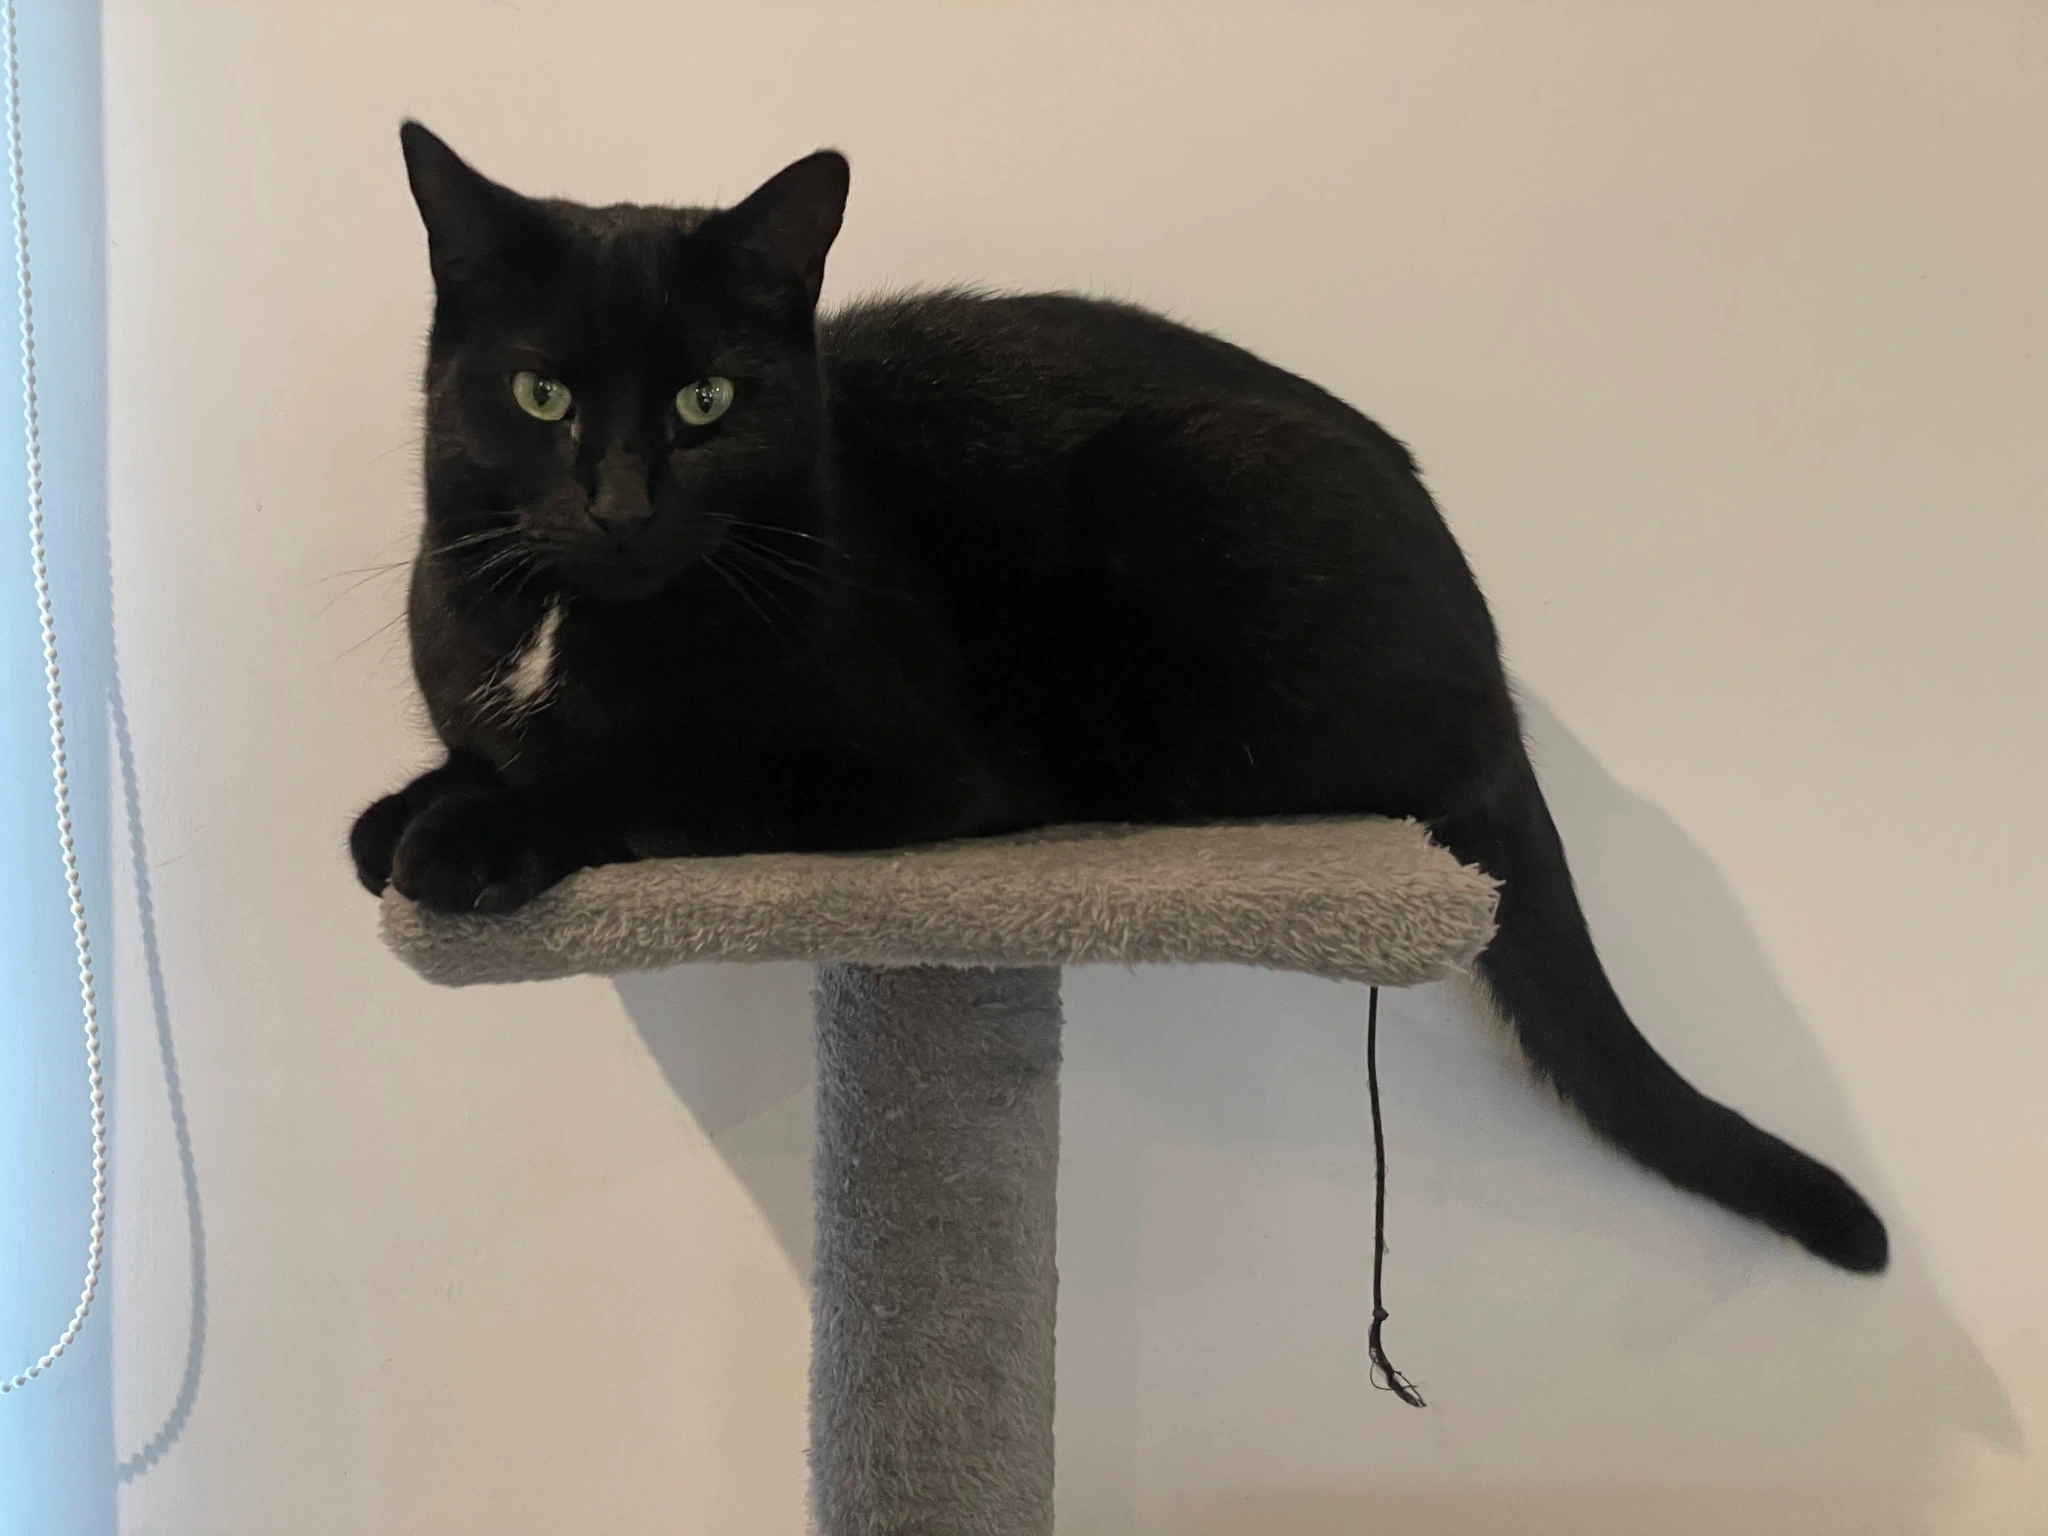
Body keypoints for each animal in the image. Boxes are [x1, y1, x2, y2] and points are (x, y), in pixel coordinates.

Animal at [351, 122, 1887, 1275]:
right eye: (540, 396)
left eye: (706, 402)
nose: (615, 507)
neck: (581, 618)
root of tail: (1497, 676)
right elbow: (478, 753)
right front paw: (410, 807)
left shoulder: (892, 768)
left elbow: (641, 773)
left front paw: (468, 838)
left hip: (1180, 494)